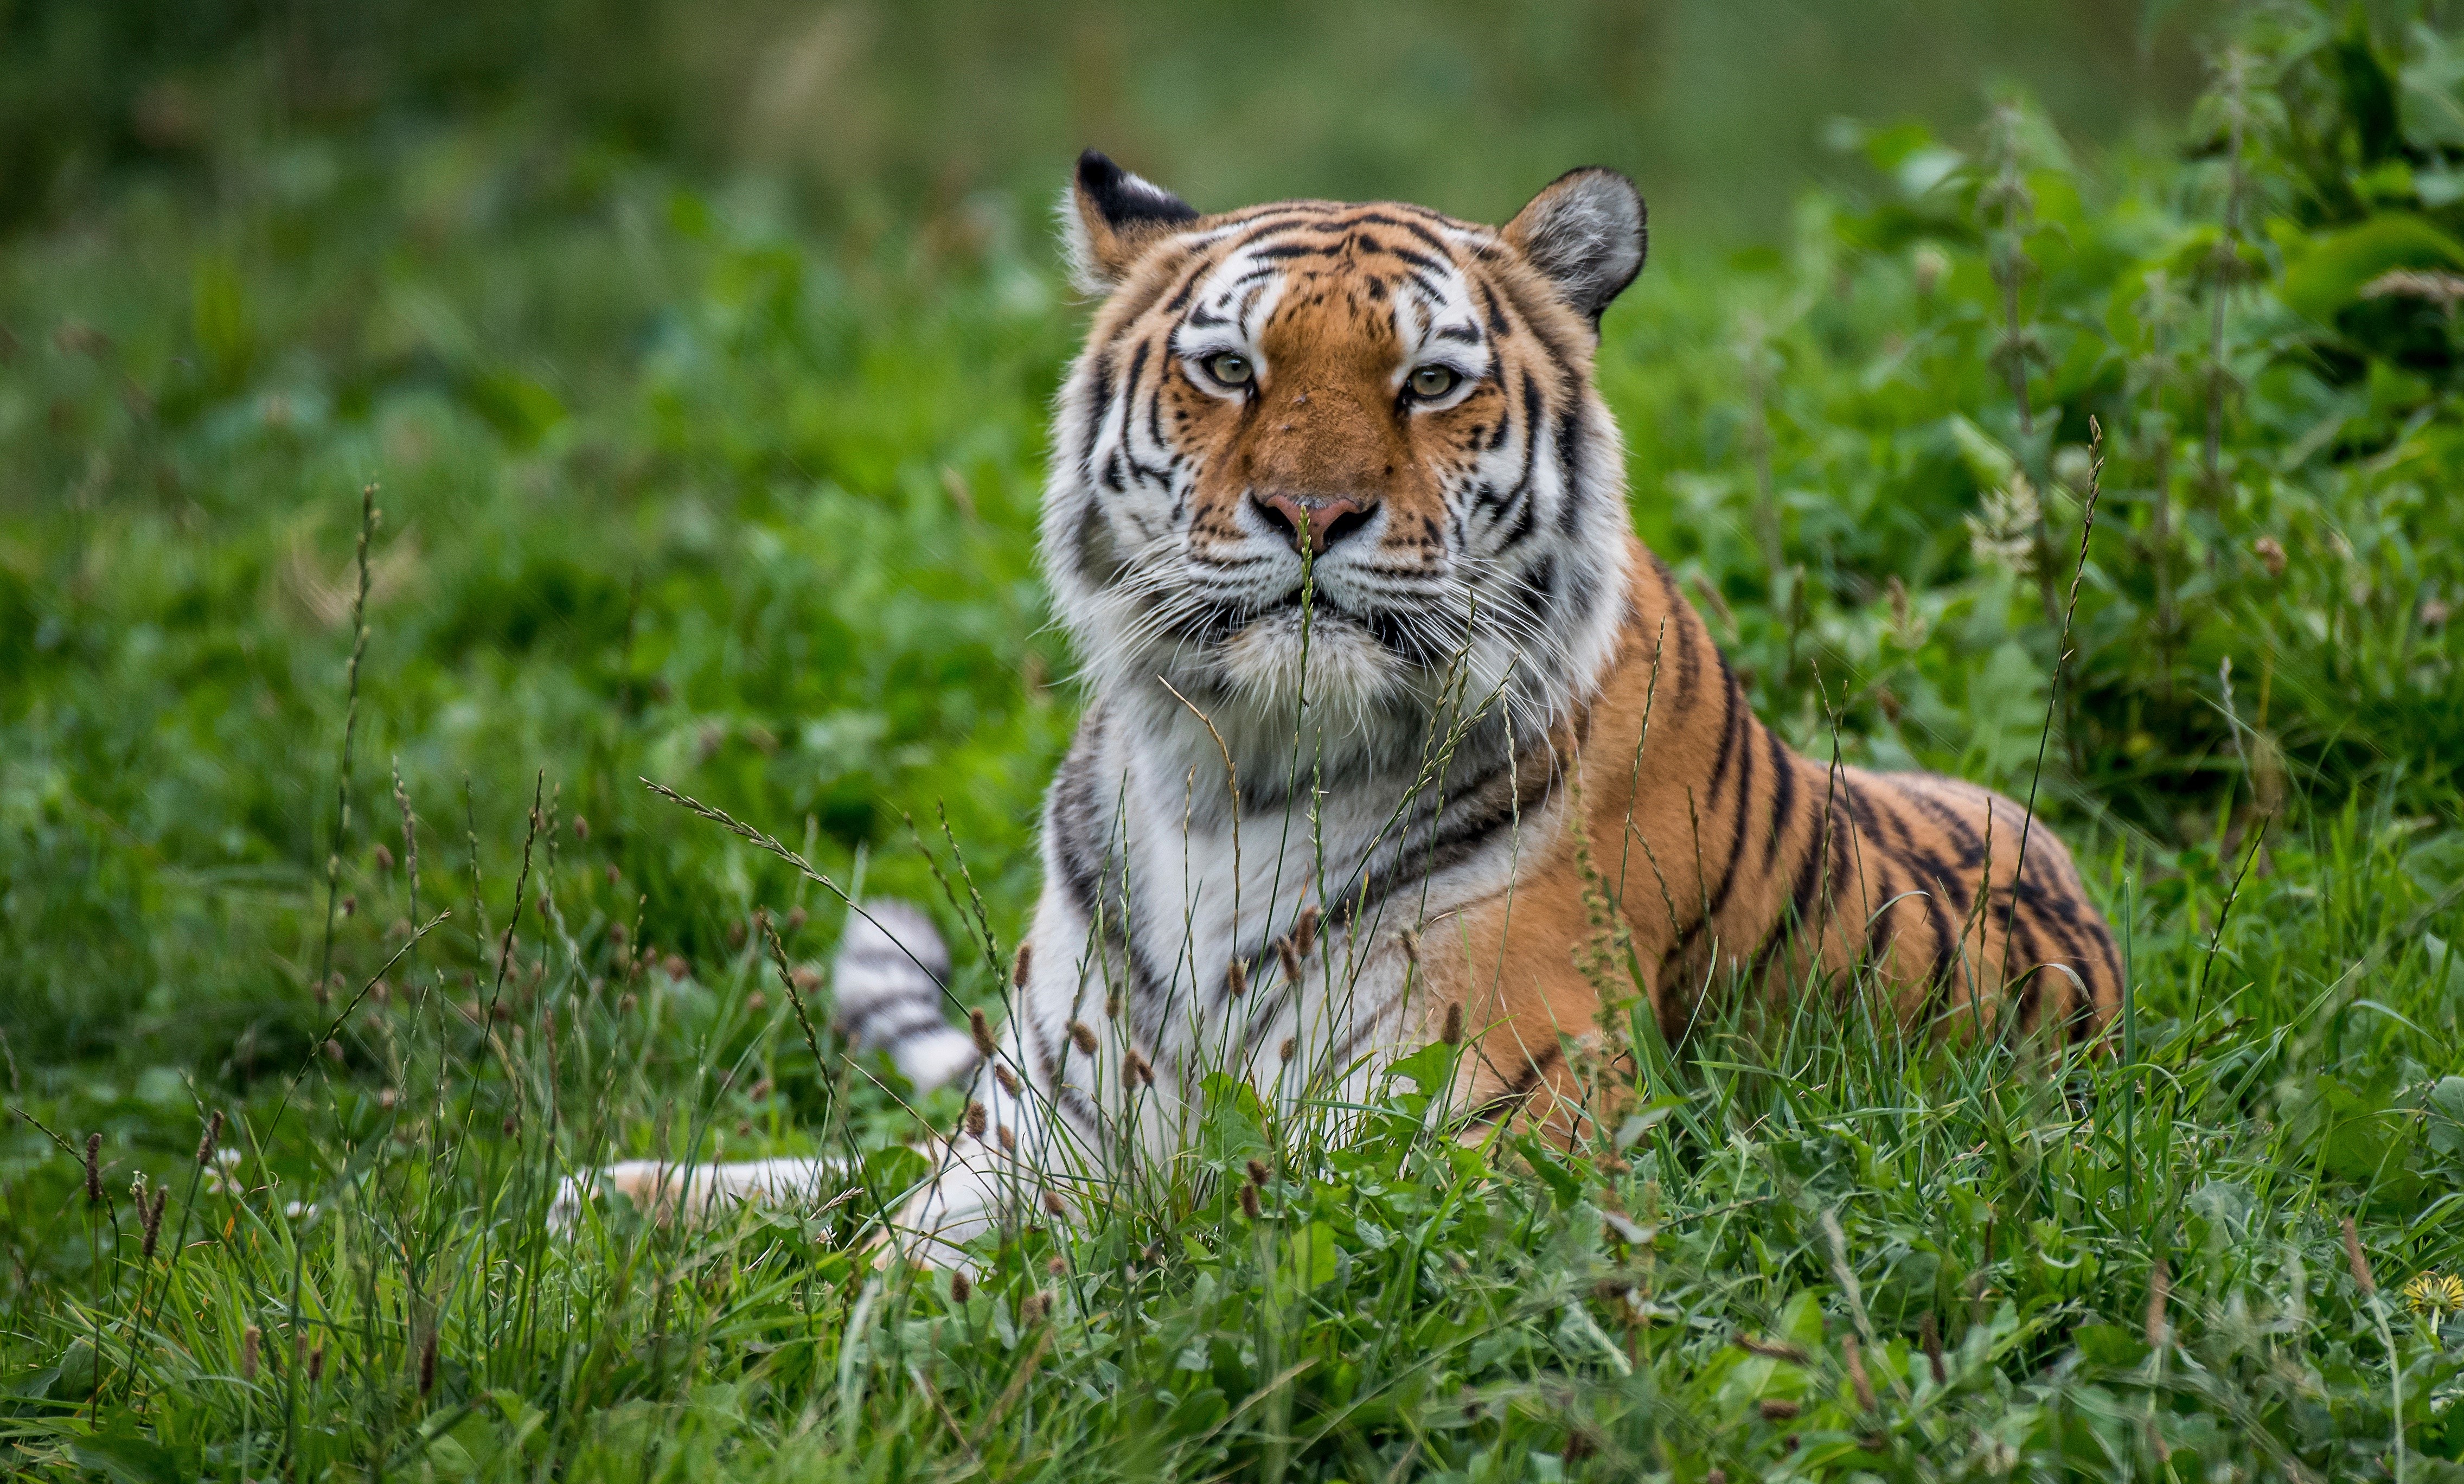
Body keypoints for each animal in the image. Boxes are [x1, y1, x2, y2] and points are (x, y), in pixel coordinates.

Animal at [563, 151, 2122, 1260]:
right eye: (1228, 369)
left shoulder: (1493, 1145)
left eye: (1429, 384)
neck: (1229, 778)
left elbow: (1178, 1226)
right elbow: (899, 1253)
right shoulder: (1030, 1131)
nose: (1312, 513)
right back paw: (613, 1190)